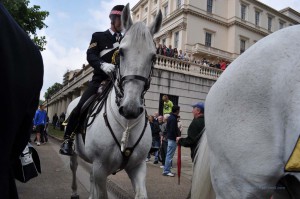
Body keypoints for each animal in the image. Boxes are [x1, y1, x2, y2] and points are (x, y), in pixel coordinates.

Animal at [67, 4, 163, 199]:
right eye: (122, 53)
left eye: (153, 56)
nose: (130, 108)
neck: (127, 124)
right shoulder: (100, 167)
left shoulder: (138, 166)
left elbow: (141, 194)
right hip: (76, 153)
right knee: (74, 167)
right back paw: (74, 192)